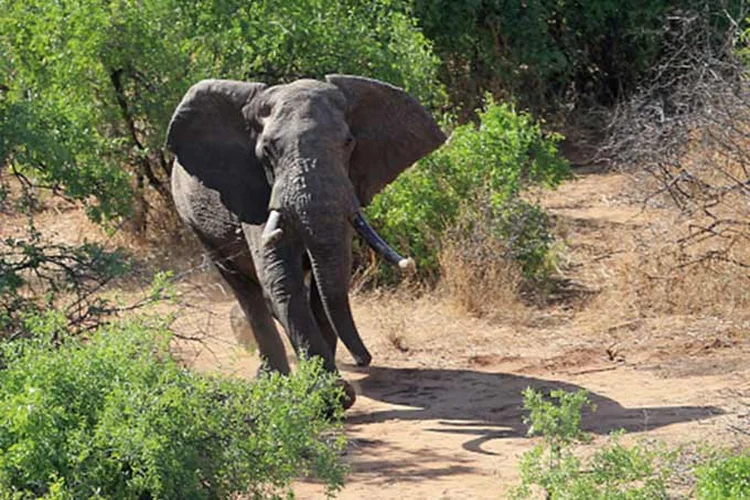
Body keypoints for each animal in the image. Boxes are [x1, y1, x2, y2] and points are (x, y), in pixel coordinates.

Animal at [166, 76, 446, 408]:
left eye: (348, 143)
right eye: (267, 150)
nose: (364, 358)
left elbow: (328, 281)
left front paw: (327, 386)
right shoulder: (252, 189)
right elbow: (280, 276)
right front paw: (330, 396)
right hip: (195, 224)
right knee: (245, 289)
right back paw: (270, 378)